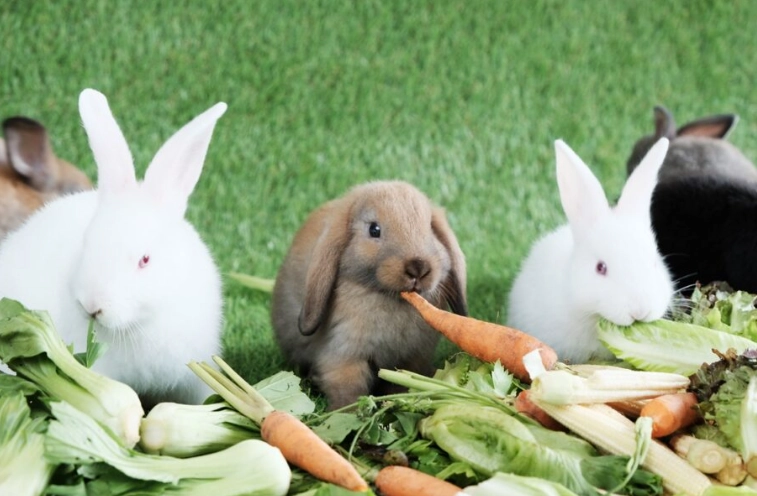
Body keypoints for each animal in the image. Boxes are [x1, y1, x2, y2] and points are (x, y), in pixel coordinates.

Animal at [271, 180, 468, 409]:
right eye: (374, 229)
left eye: (430, 228)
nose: (418, 267)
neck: (391, 299)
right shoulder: (343, 355)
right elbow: (348, 390)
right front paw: (347, 414)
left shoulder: (413, 358)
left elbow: (402, 384)